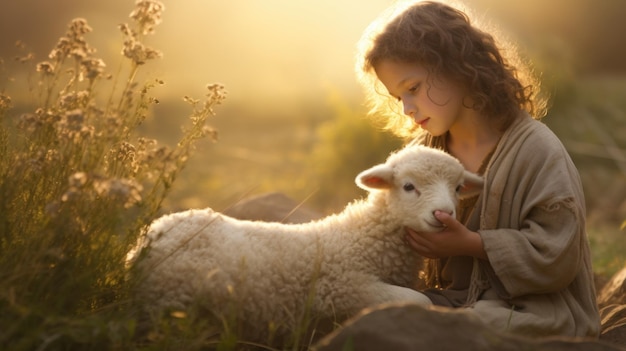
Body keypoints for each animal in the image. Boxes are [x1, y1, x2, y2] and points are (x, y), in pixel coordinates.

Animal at [125, 143, 478, 340]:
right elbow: (420, 301)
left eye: (458, 188)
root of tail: (151, 234)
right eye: (408, 186)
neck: (363, 239)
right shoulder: (344, 289)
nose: (443, 214)